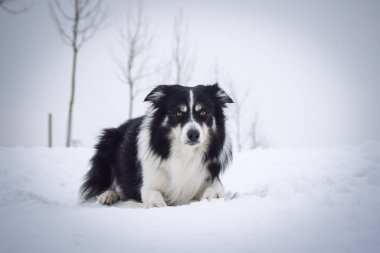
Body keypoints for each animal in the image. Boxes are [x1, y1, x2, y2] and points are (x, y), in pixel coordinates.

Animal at [80, 83, 233, 208]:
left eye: (204, 112)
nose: (193, 134)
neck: (184, 153)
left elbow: (216, 189)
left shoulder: (208, 175)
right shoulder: (148, 183)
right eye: (178, 112)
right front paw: (157, 205)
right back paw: (108, 195)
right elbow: (153, 193)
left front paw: (212, 197)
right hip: (108, 143)